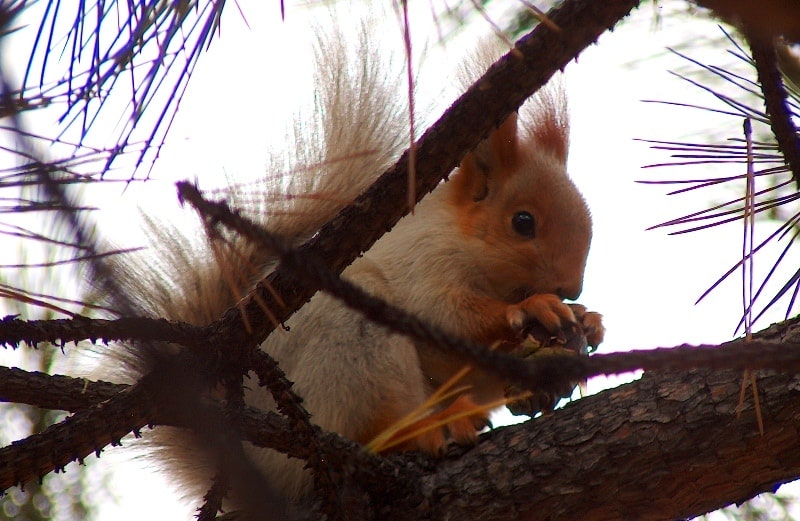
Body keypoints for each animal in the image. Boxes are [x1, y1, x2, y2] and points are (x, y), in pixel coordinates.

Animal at [97, 15, 604, 512]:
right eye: (523, 222)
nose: (571, 288)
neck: (466, 241)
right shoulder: (425, 262)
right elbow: (446, 316)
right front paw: (534, 309)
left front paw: (585, 323)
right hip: (350, 349)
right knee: (377, 427)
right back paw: (426, 431)